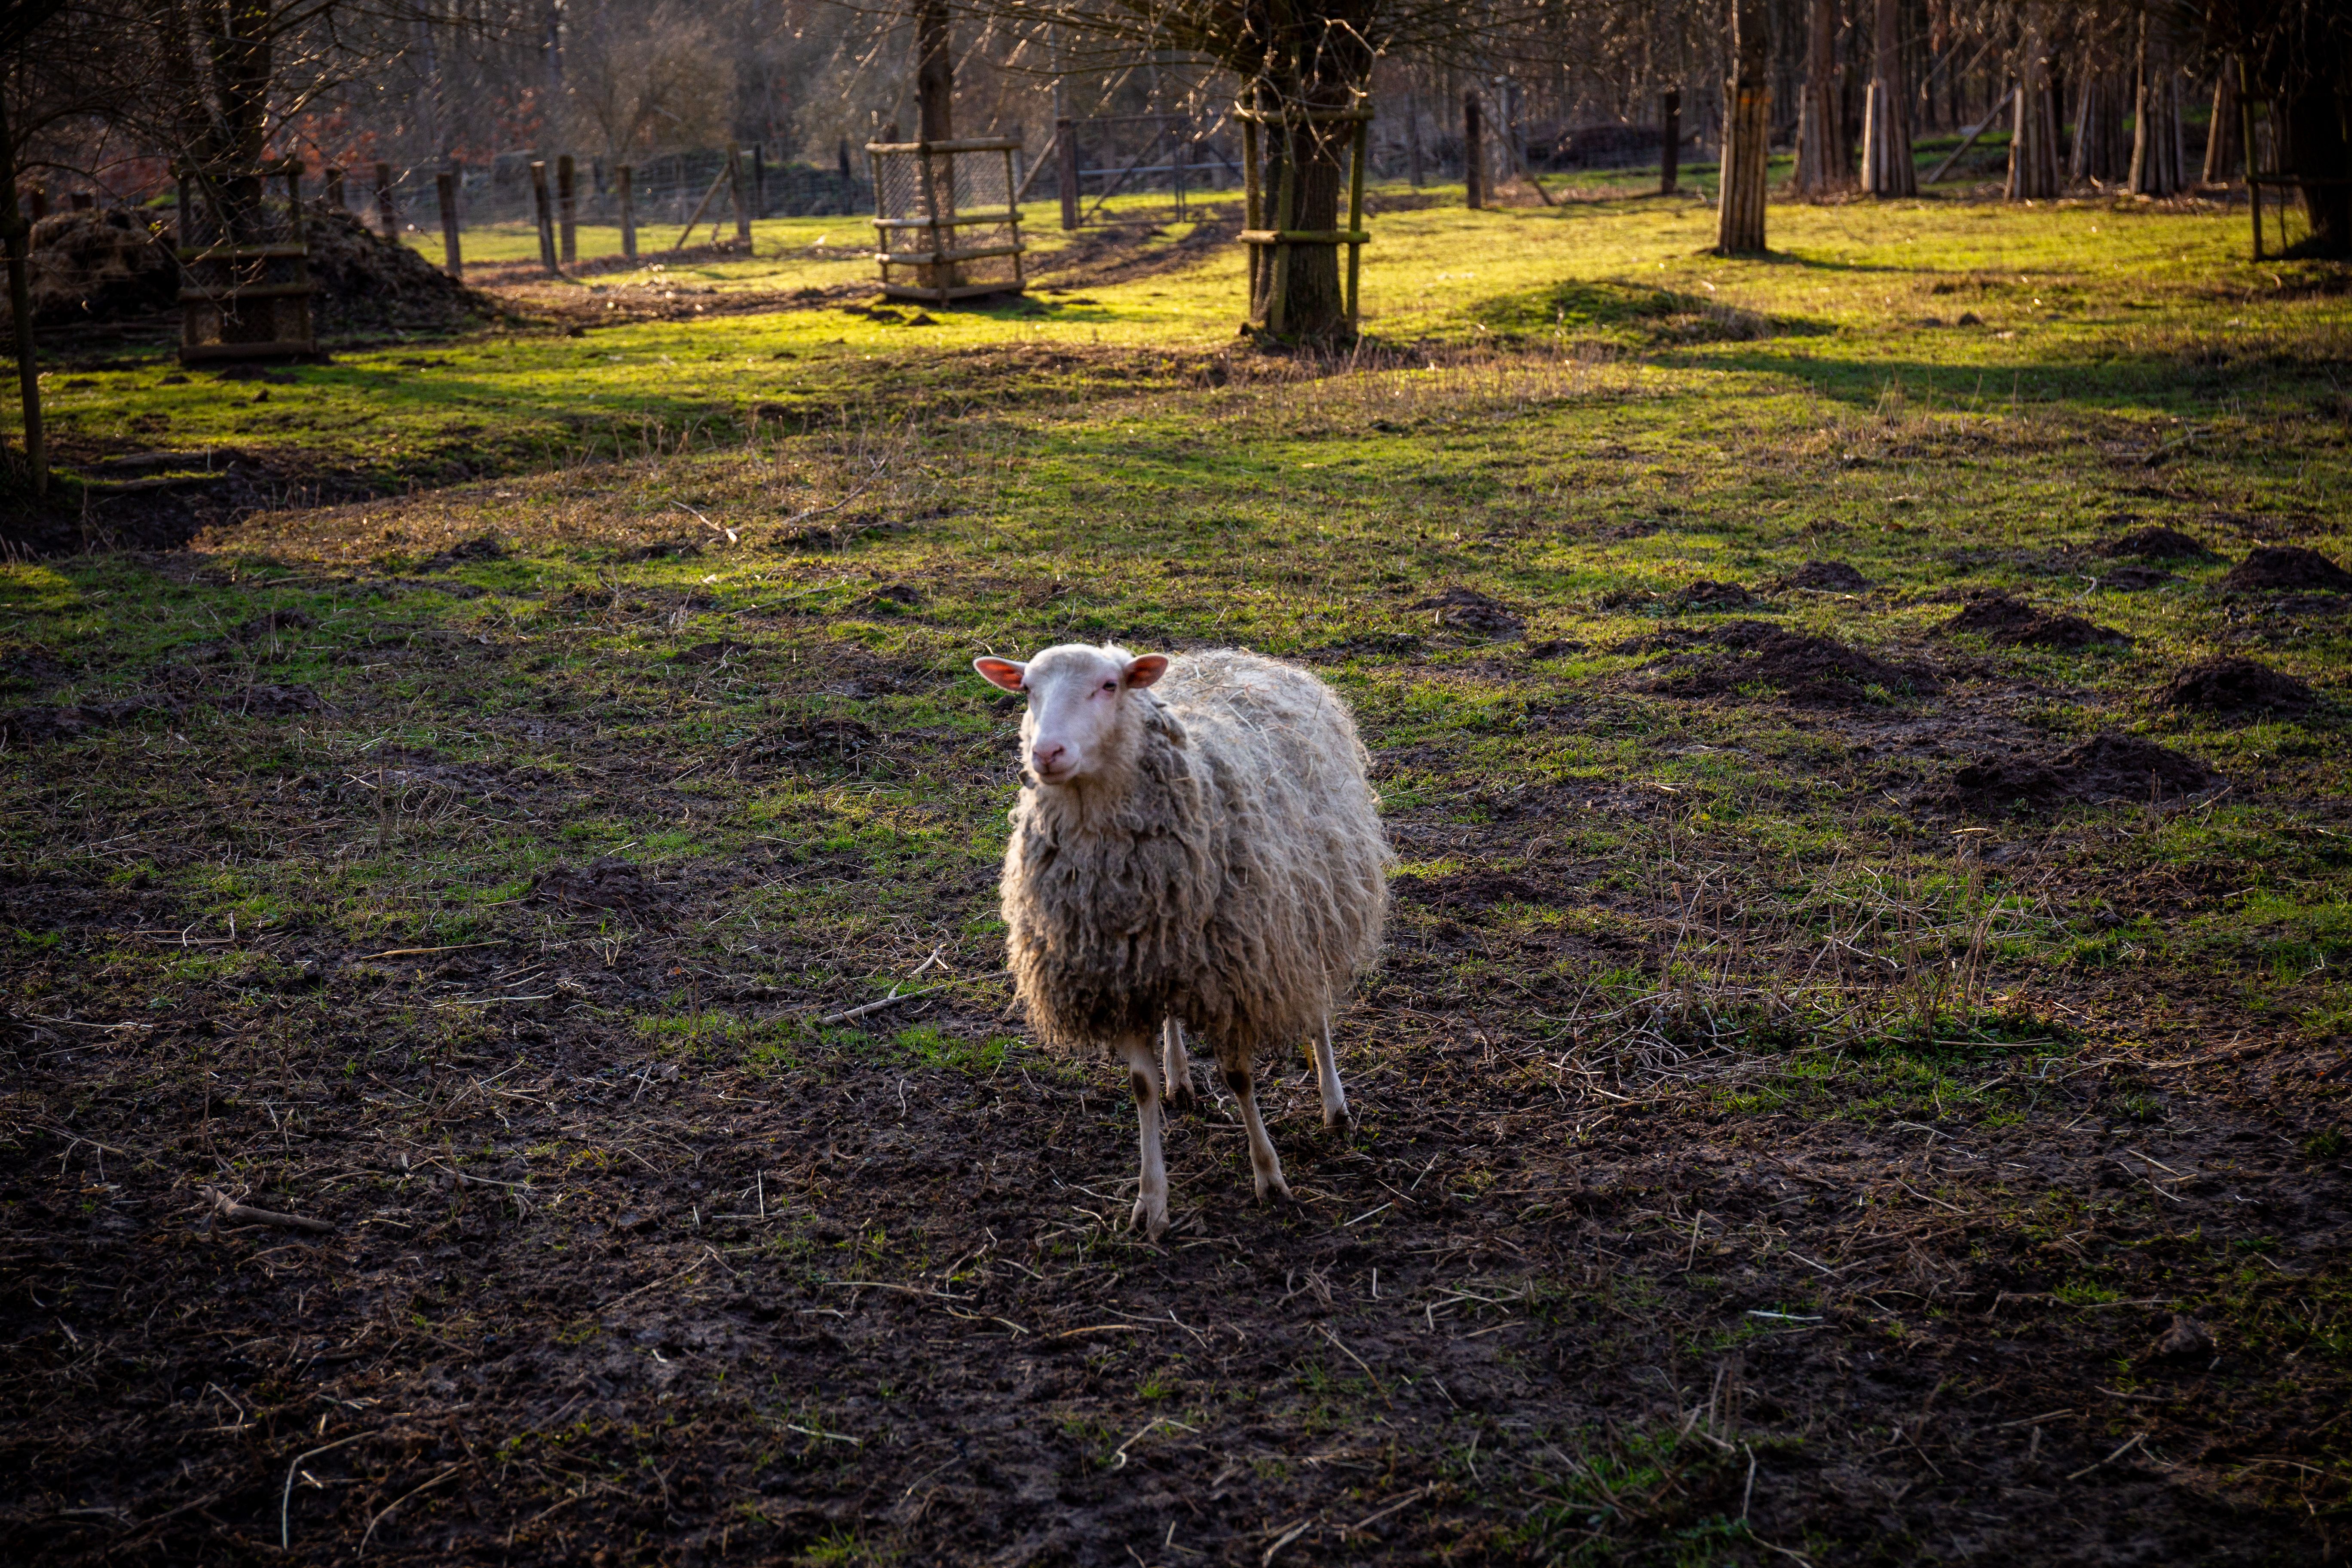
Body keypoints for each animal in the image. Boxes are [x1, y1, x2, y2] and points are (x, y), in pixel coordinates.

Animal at [972, 641, 1390, 1238]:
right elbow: (1140, 1088)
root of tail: (1234, 654)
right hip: (1175, 954)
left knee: (1317, 1014)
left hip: (1308, 917)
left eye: (1109, 687)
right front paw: (1151, 1202)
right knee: (1172, 1021)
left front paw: (1269, 1178)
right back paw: (1180, 1078)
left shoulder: (1239, 978)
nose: (1046, 753)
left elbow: (1239, 1077)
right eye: (1027, 690)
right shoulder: (1121, 984)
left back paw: (1336, 1108)